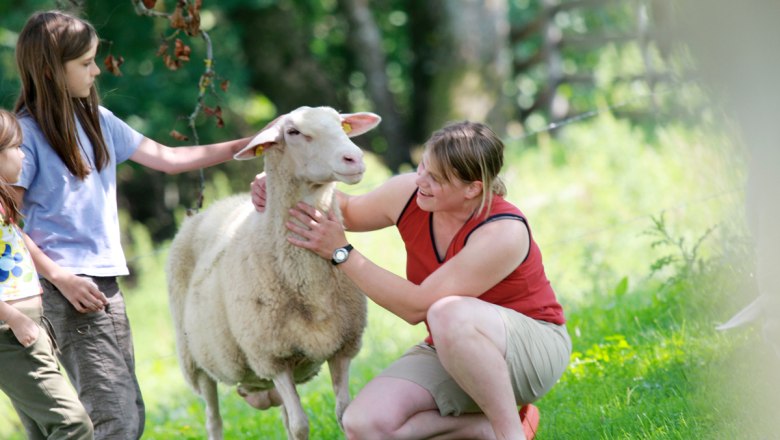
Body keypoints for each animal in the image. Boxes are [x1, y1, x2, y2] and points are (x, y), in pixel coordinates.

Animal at [167, 106, 380, 440]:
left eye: (341, 124)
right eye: (293, 132)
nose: (354, 159)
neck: (311, 287)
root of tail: (215, 206)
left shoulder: (343, 346)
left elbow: (343, 414)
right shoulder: (272, 357)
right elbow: (300, 426)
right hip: (196, 362)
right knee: (214, 419)